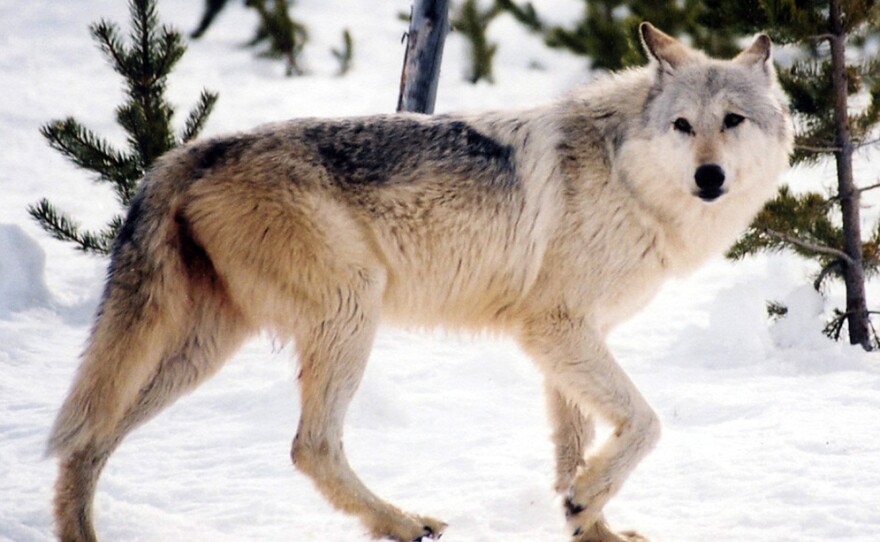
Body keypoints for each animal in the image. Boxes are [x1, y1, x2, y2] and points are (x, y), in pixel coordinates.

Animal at [47, 23, 792, 542]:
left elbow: (573, 451)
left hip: (201, 349)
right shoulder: (556, 330)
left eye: (733, 121)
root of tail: (191, 152)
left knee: (87, 444)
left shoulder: (566, 342)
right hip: (350, 313)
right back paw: (401, 523)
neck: (627, 177)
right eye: (683, 126)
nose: (709, 177)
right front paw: (587, 502)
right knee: (309, 447)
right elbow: (645, 423)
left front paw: (589, 522)